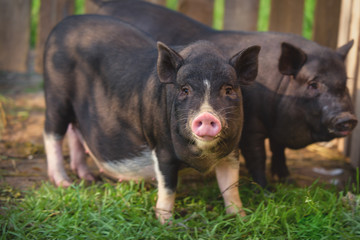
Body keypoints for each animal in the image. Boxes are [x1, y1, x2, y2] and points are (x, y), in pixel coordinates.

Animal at [43, 14, 260, 223]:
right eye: (184, 90)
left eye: (229, 89)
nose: (206, 116)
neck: (203, 157)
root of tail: (62, 24)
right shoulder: (162, 147)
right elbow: (168, 187)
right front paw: (166, 223)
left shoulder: (233, 149)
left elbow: (230, 186)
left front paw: (241, 219)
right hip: (56, 95)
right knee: (52, 134)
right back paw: (64, 183)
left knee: (73, 131)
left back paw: (88, 178)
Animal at [95, 0, 358, 188]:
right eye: (313, 84)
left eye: (344, 82)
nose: (347, 118)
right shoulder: (252, 128)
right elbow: (258, 157)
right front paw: (267, 191)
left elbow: (278, 149)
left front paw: (287, 180)